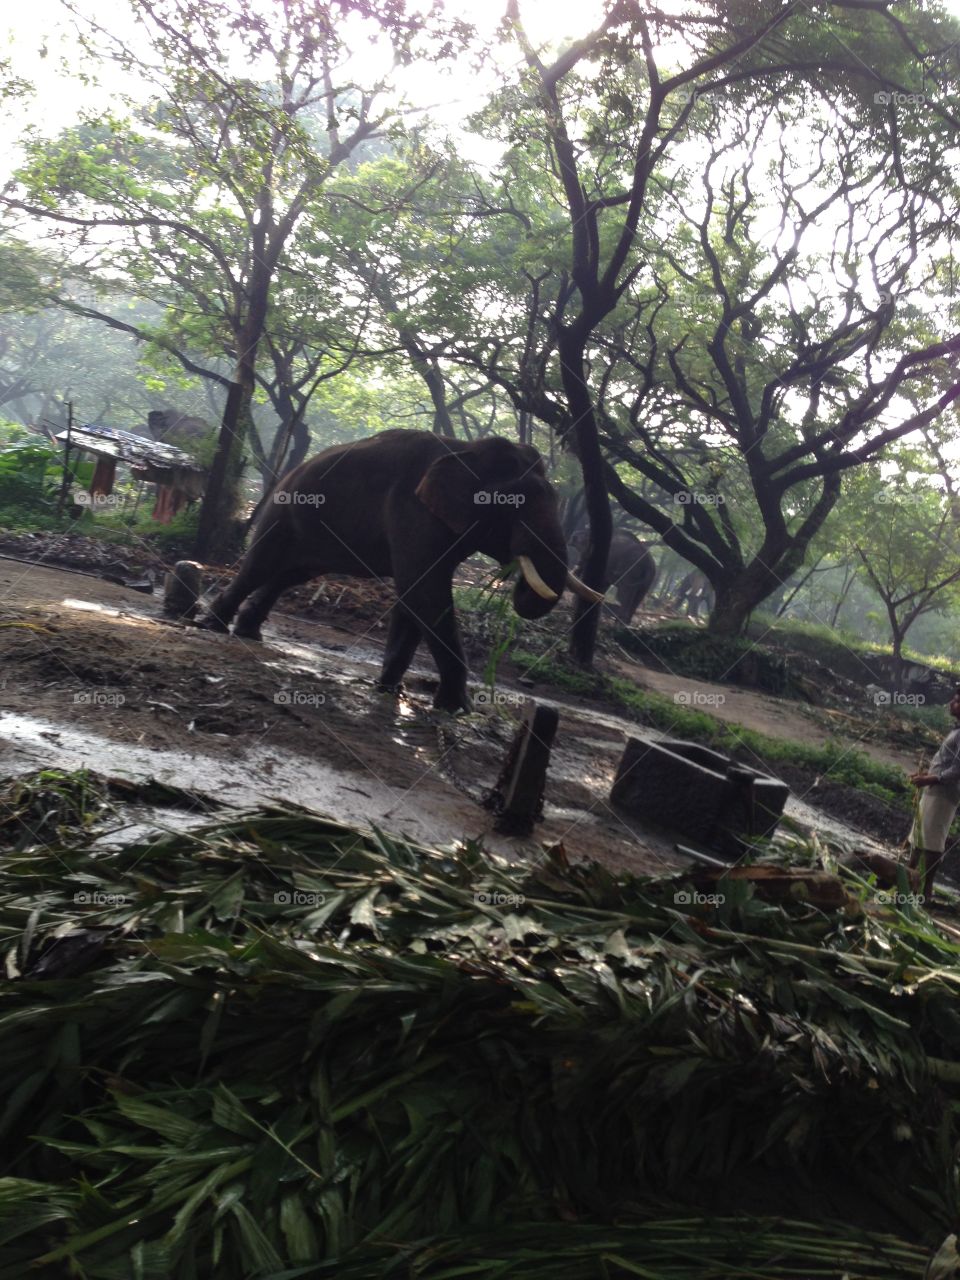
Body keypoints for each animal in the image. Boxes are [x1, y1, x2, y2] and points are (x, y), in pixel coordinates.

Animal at [200, 429, 603, 711]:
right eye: (514, 503)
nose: (517, 576)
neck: (466, 449)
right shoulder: (412, 511)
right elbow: (425, 590)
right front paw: (459, 709)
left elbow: (417, 593)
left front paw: (391, 689)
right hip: (283, 508)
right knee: (261, 565)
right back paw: (213, 627)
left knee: (292, 573)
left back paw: (249, 633)